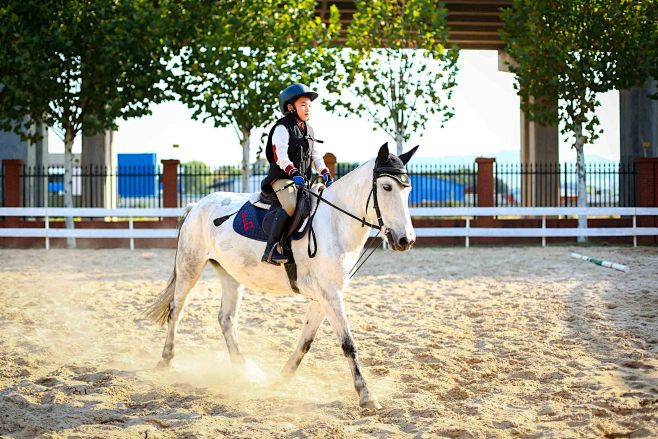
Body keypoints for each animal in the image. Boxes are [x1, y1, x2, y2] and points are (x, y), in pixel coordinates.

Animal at [147, 143, 418, 410]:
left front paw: (282, 378)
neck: (335, 223)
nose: (406, 240)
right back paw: (165, 360)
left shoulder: (324, 297)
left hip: (231, 275)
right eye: (386, 187)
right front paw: (366, 395)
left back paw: (244, 369)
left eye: (408, 190)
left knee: (226, 319)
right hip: (189, 266)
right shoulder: (330, 295)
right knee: (176, 311)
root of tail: (197, 205)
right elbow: (348, 343)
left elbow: (306, 341)